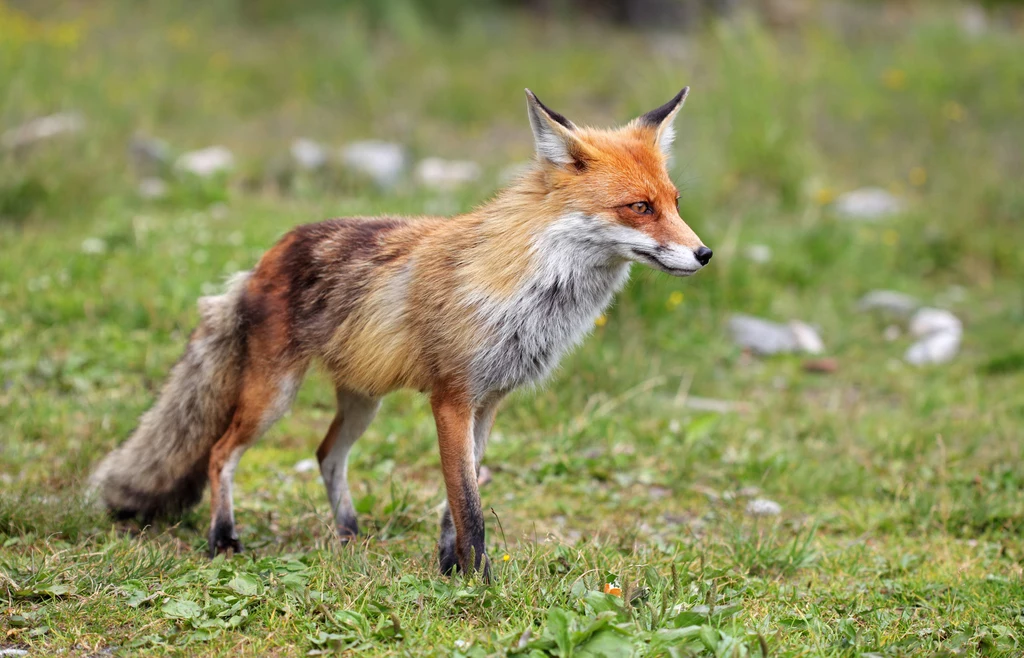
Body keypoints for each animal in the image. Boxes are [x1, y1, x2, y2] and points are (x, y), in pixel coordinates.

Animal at [90, 86, 712, 577]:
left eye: (676, 203)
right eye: (640, 207)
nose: (704, 254)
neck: (530, 291)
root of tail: (264, 258)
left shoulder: (488, 403)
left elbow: (455, 502)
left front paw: (450, 568)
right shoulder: (452, 397)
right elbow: (468, 506)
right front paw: (480, 584)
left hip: (363, 401)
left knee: (325, 454)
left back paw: (347, 533)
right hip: (274, 396)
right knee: (221, 452)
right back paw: (223, 539)